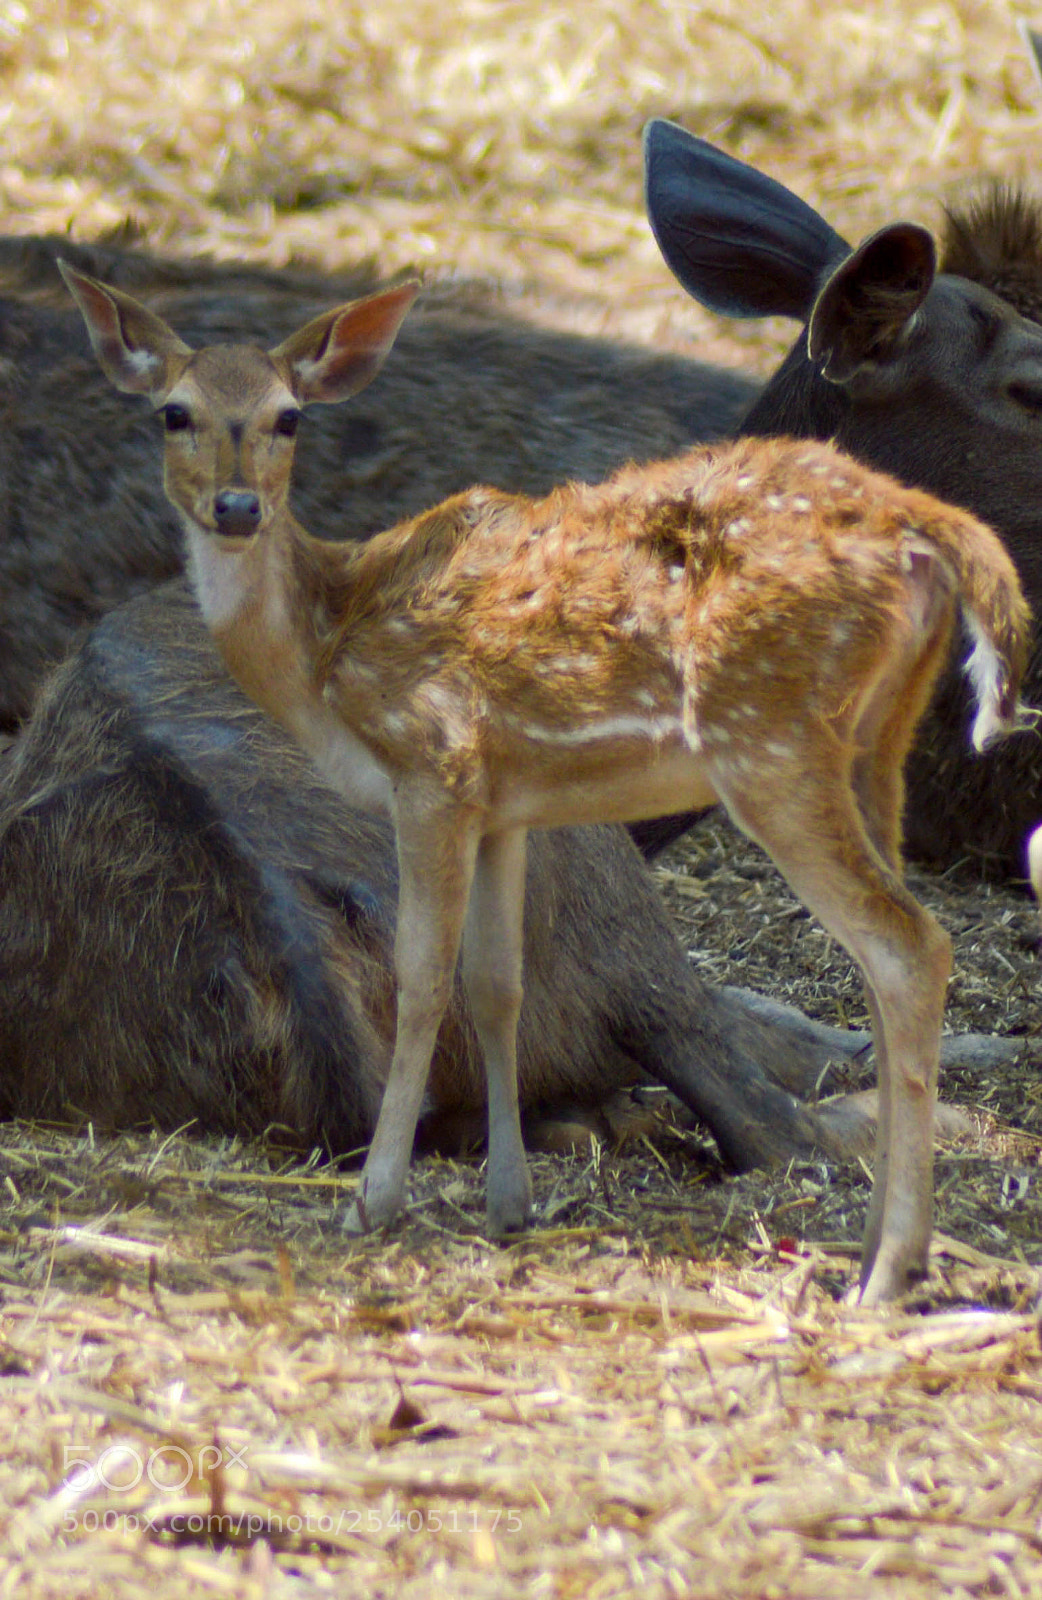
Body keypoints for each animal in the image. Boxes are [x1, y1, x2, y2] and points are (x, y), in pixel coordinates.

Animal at [60, 263, 1035, 1306]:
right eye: (175, 413)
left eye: (289, 417)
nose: (237, 507)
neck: (326, 654)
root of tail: (931, 531)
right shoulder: (507, 805)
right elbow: (499, 987)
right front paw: (509, 1204)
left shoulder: (435, 767)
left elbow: (424, 981)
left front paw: (375, 1201)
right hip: (878, 745)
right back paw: (890, 1246)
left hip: (771, 741)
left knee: (905, 949)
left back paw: (887, 1270)